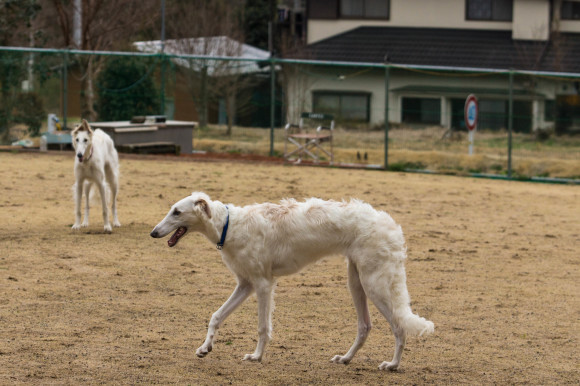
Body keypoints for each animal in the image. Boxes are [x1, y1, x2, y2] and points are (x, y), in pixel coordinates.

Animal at [152, 191, 432, 370]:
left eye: (177, 211)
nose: (153, 233)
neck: (229, 225)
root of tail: (391, 225)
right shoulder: (245, 284)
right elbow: (216, 316)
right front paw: (204, 348)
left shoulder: (263, 284)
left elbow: (262, 327)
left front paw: (256, 357)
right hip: (356, 282)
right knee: (365, 326)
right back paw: (345, 359)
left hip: (374, 285)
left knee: (399, 326)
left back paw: (393, 364)